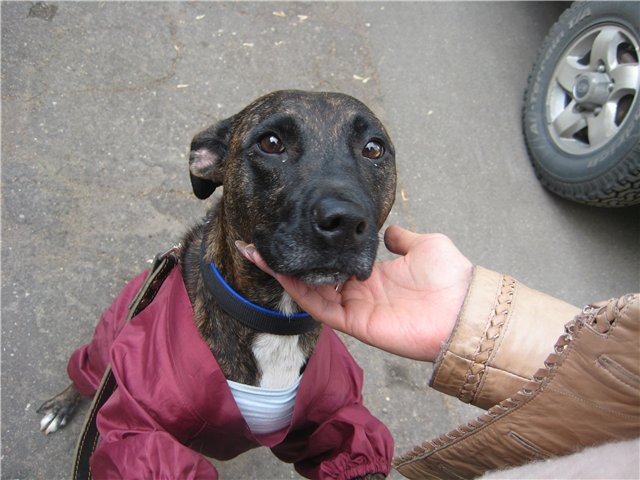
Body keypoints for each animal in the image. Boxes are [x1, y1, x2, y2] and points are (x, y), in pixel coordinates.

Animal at [38, 90, 397, 479]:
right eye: (271, 143)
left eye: (374, 148)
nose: (344, 222)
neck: (275, 321)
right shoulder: (139, 418)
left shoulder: (335, 411)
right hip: (109, 340)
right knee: (87, 370)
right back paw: (61, 405)